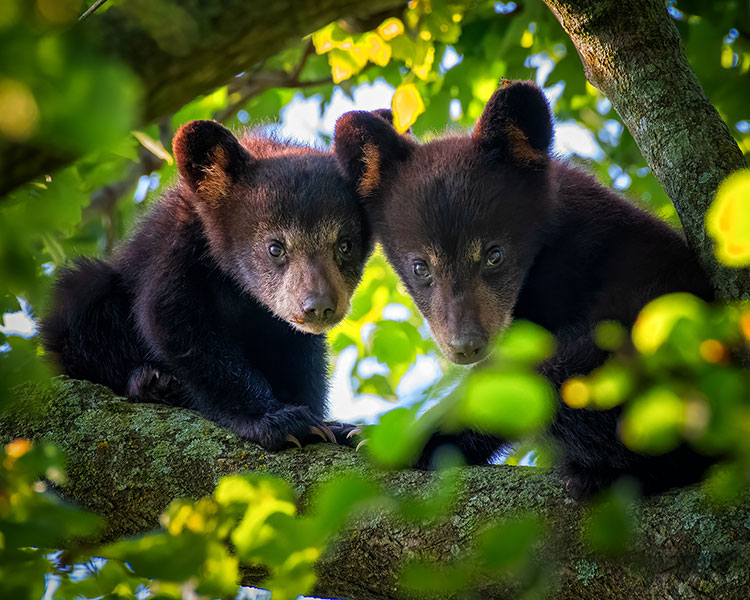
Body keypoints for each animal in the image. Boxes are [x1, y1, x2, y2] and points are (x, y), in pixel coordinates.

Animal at [41, 119, 373, 450]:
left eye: (345, 245)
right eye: (275, 247)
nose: (318, 306)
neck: (240, 290)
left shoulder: (285, 328)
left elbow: (302, 361)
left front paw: (338, 428)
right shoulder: (176, 249)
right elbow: (176, 325)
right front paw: (277, 420)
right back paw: (151, 382)